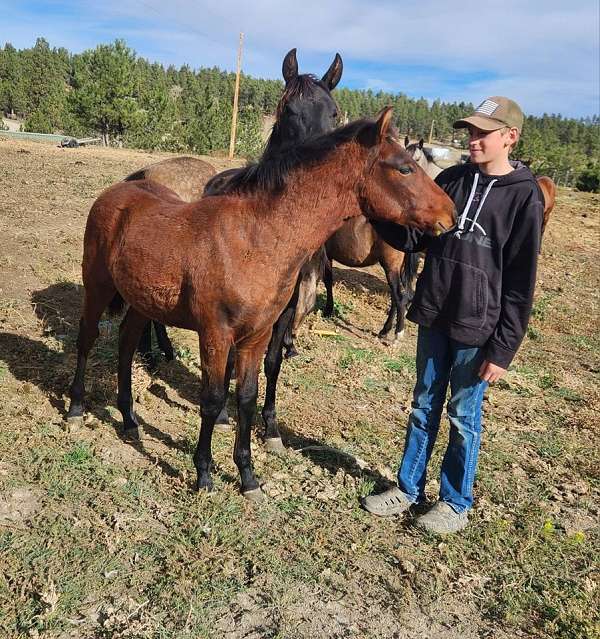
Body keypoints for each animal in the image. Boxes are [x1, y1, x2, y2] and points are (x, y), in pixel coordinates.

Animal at [65, 110, 458, 500]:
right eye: (404, 168)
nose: (451, 215)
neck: (253, 240)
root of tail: (118, 189)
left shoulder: (256, 336)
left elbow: (247, 397)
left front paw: (248, 477)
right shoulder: (215, 334)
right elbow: (212, 399)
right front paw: (204, 474)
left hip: (141, 302)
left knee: (126, 344)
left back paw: (129, 420)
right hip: (97, 287)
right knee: (86, 340)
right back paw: (75, 408)